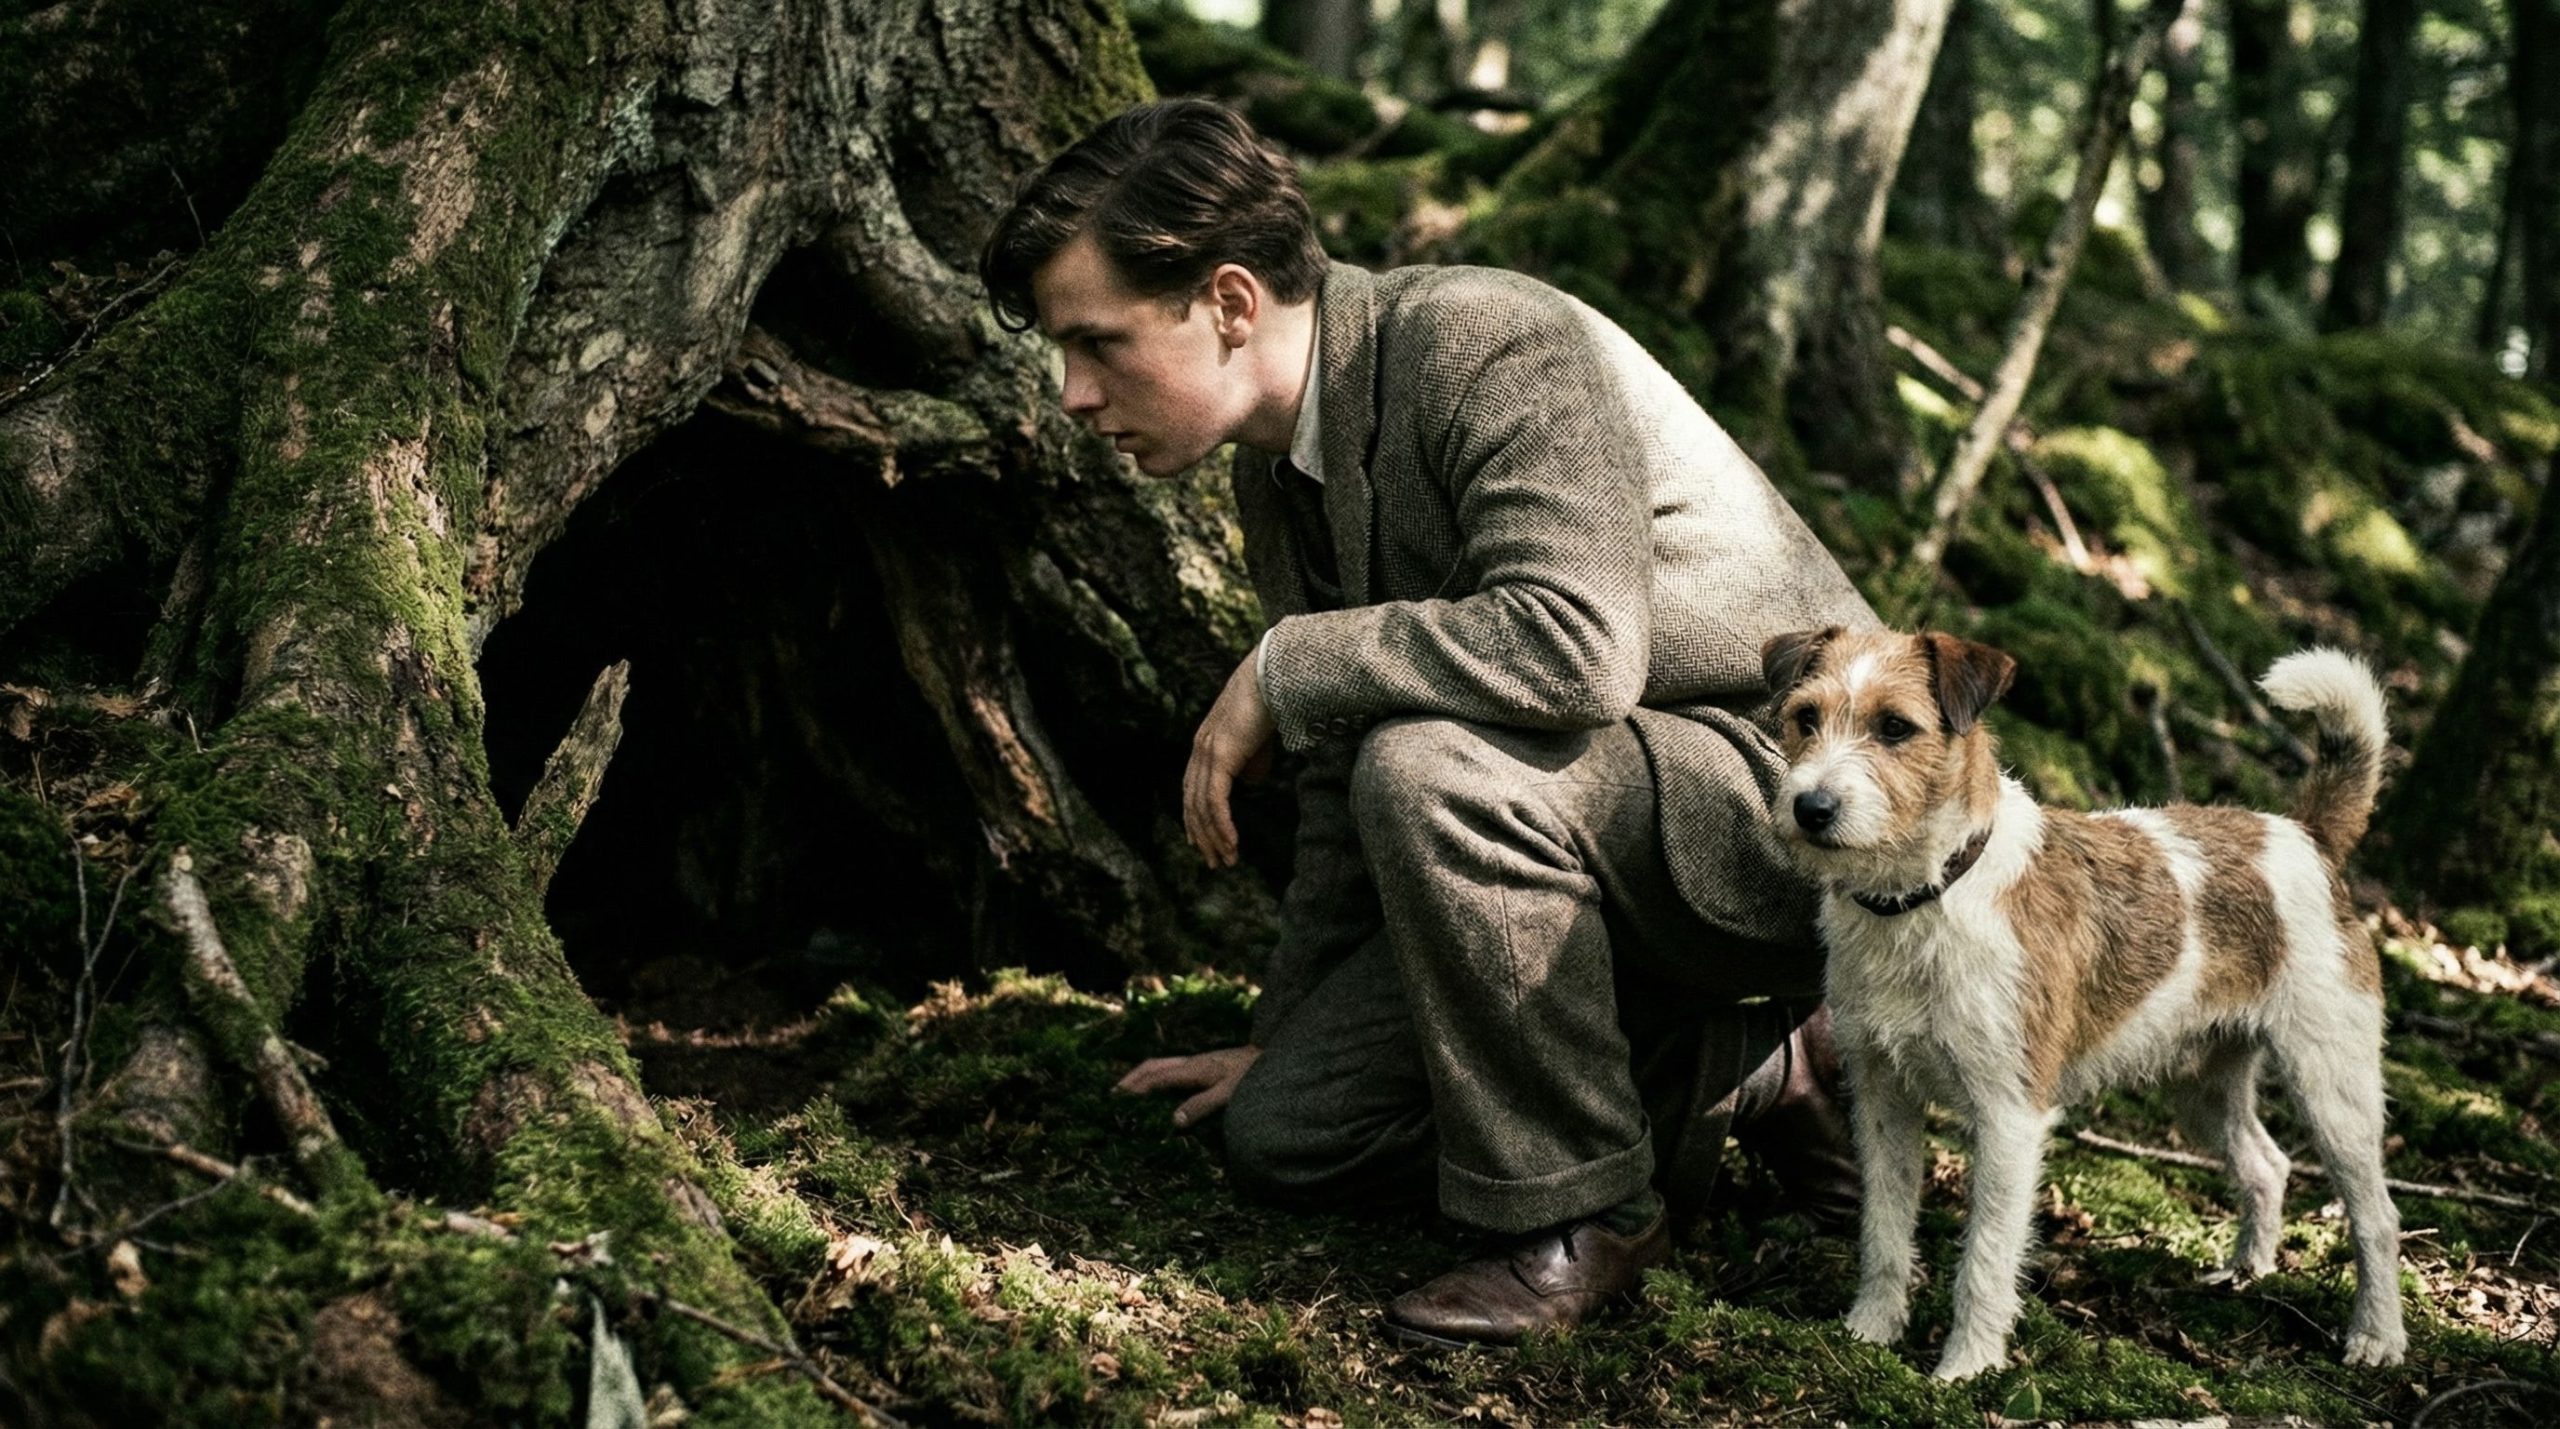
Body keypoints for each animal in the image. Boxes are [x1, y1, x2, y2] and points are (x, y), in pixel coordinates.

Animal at [1757, 626, 2406, 1381]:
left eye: (1895, 727)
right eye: (1805, 717)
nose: (1811, 808)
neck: (1931, 894)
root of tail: (2305, 835)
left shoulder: (2010, 1118)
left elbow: (1985, 1259)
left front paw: (1965, 1369)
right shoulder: (1882, 1098)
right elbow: (1885, 1230)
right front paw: (1869, 1331)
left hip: (2332, 1087)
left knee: (2376, 1214)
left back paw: (2378, 1336)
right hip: (2202, 1086)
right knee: (2265, 1166)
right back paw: (2247, 1271)